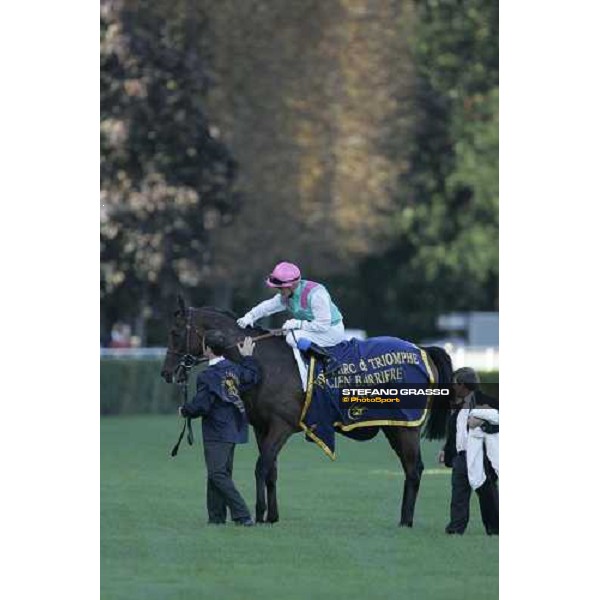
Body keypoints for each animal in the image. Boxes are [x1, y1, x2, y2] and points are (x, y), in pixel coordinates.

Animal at [159, 298, 450, 528]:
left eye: (174, 332)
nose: (166, 373)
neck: (265, 363)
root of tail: (422, 350)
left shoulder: (282, 426)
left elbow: (261, 466)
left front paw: (259, 513)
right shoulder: (262, 427)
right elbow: (271, 470)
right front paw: (272, 516)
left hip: (406, 427)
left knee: (414, 469)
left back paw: (405, 521)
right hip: (394, 427)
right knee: (410, 468)